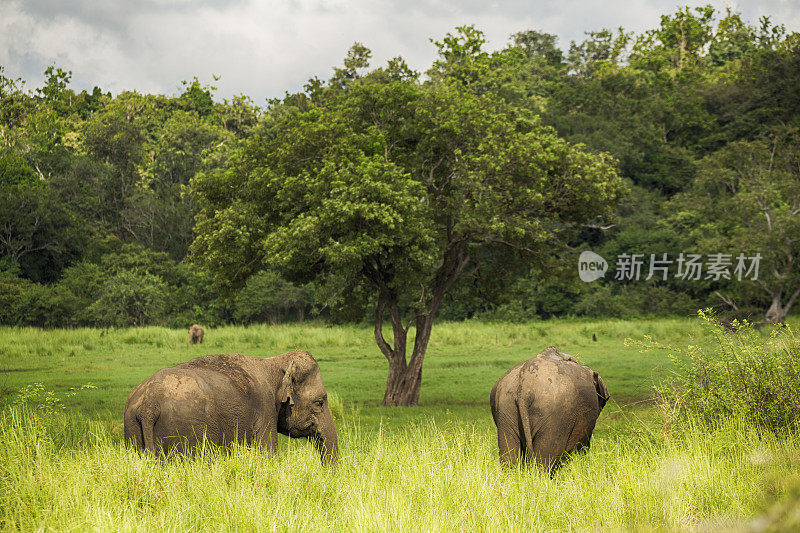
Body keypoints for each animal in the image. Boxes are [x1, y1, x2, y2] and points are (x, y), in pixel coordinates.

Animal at [122, 350, 338, 462]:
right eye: (319, 402)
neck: (274, 362)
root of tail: (149, 404)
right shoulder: (265, 410)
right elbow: (268, 454)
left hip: (132, 427)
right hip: (186, 430)